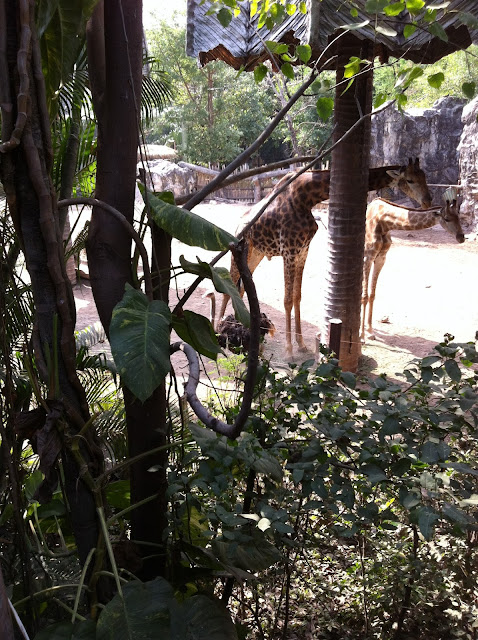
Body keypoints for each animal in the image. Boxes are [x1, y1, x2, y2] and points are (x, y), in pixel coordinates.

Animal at [360, 198, 464, 342]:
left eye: (459, 217)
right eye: (447, 218)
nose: (461, 238)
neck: (384, 222)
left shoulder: (381, 258)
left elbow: (372, 295)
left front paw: (370, 331)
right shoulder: (367, 257)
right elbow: (364, 296)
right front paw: (361, 336)